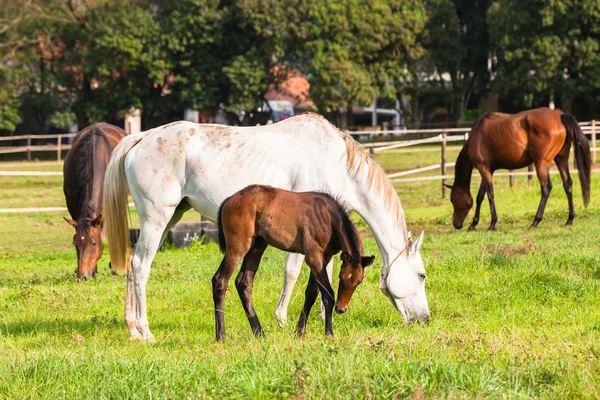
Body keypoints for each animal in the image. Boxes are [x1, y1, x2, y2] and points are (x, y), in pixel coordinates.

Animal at [216, 184, 376, 340]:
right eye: (341, 277)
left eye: (359, 281)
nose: (341, 308)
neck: (328, 218)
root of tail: (230, 199)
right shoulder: (314, 258)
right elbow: (327, 293)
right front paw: (329, 334)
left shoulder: (324, 258)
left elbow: (311, 293)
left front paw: (299, 332)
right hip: (238, 246)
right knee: (220, 280)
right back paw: (221, 336)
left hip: (257, 246)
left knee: (244, 282)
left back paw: (260, 333)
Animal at [446, 107, 592, 231]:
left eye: (452, 199)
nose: (456, 224)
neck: (477, 134)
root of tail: (561, 116)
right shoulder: (488, 170)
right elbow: (480, 196)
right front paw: (473, 224)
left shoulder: (483, 168)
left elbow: (490, 195)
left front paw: (492, 224)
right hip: (561, 159)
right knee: (567, 184)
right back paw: (569, 219)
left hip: (541, 163)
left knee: (546, 188)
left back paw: (535, 222)